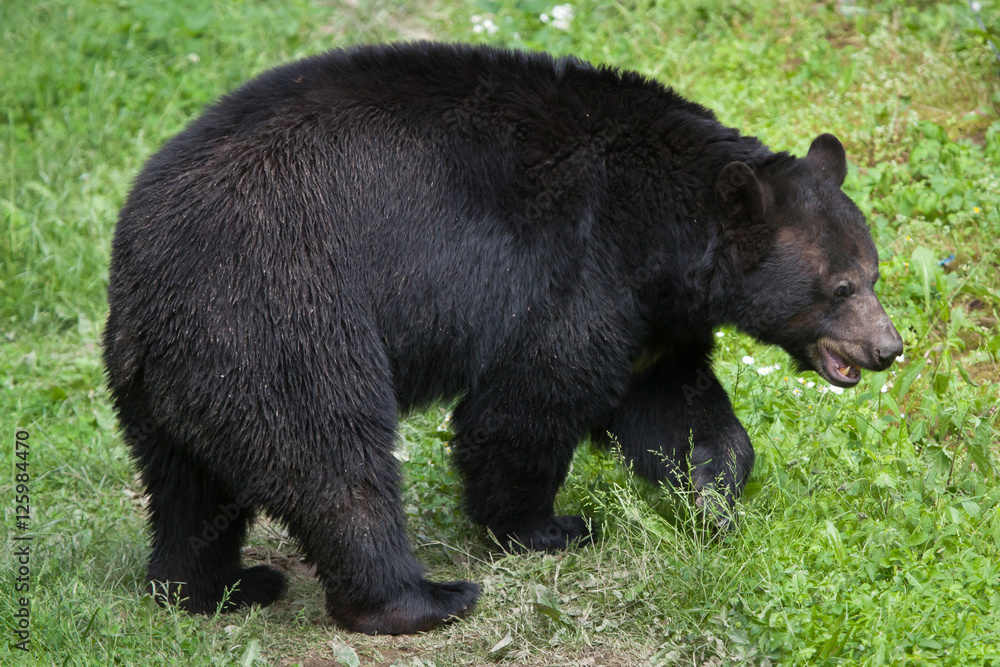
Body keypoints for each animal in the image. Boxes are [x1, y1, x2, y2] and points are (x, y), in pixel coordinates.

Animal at [103, 41, 903, 635]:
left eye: (874, 271)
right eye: (840, 287)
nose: (887, 348)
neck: (665, 233)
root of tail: (145, 282)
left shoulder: (651, 319)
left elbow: (672, 405)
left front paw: (710, 491)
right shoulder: (577, 268)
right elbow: (529, 400)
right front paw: (544, 526)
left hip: (174, 375)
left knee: (188, 487)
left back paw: (215, 587)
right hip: (281, 317)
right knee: (332, 458)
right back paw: (420, 597)